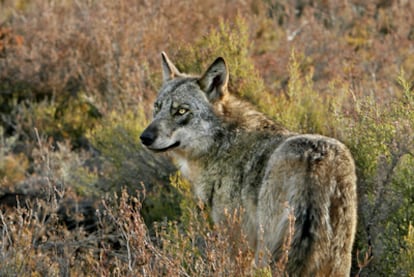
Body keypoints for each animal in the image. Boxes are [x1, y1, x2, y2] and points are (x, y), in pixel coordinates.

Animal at [141, 51, 358, 274]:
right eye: (157, 107)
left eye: (181, 111)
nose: (145, 137)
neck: (222, 144)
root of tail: (314, 161)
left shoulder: (236, 243)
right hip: (338, 261)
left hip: (266, 253)